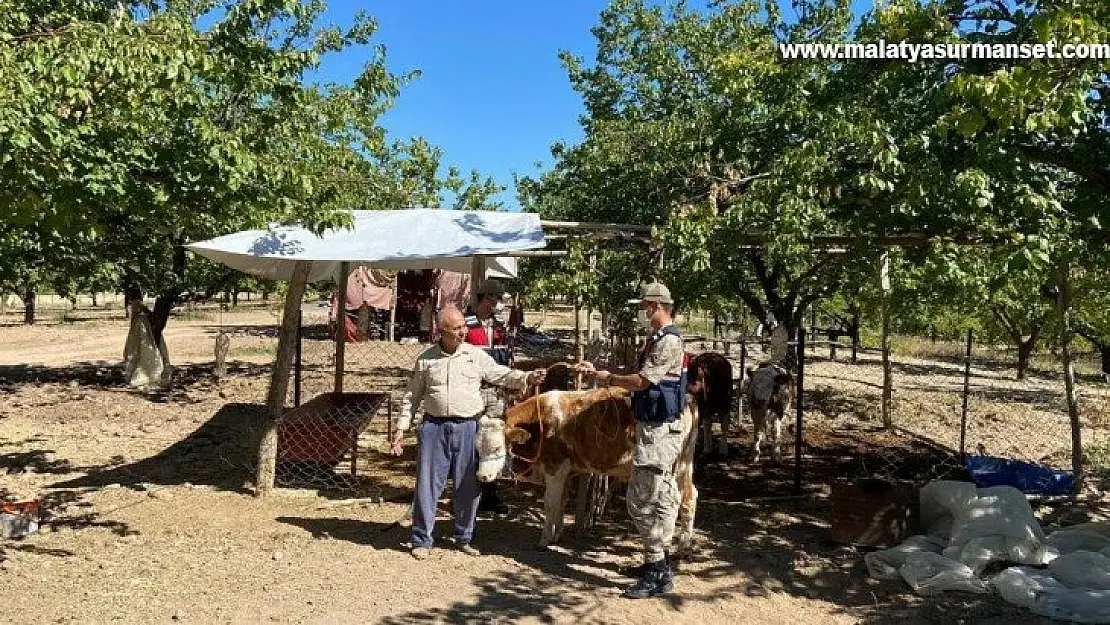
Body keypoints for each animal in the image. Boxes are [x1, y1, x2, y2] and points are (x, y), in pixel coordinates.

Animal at [472, 388, 697, 550]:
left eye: (497, 447)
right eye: (477, 448)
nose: (482, 476)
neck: (540, 422)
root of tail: (687, 399)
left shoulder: (555, 467)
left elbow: (550, 504)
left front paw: (544, 540)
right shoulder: (567, 471)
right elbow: (561, 503)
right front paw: (556, 535)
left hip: (668, 469)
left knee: (673, 501)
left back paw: (667, 544)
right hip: (684, 465)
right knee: (690, 496)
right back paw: (683, 545)